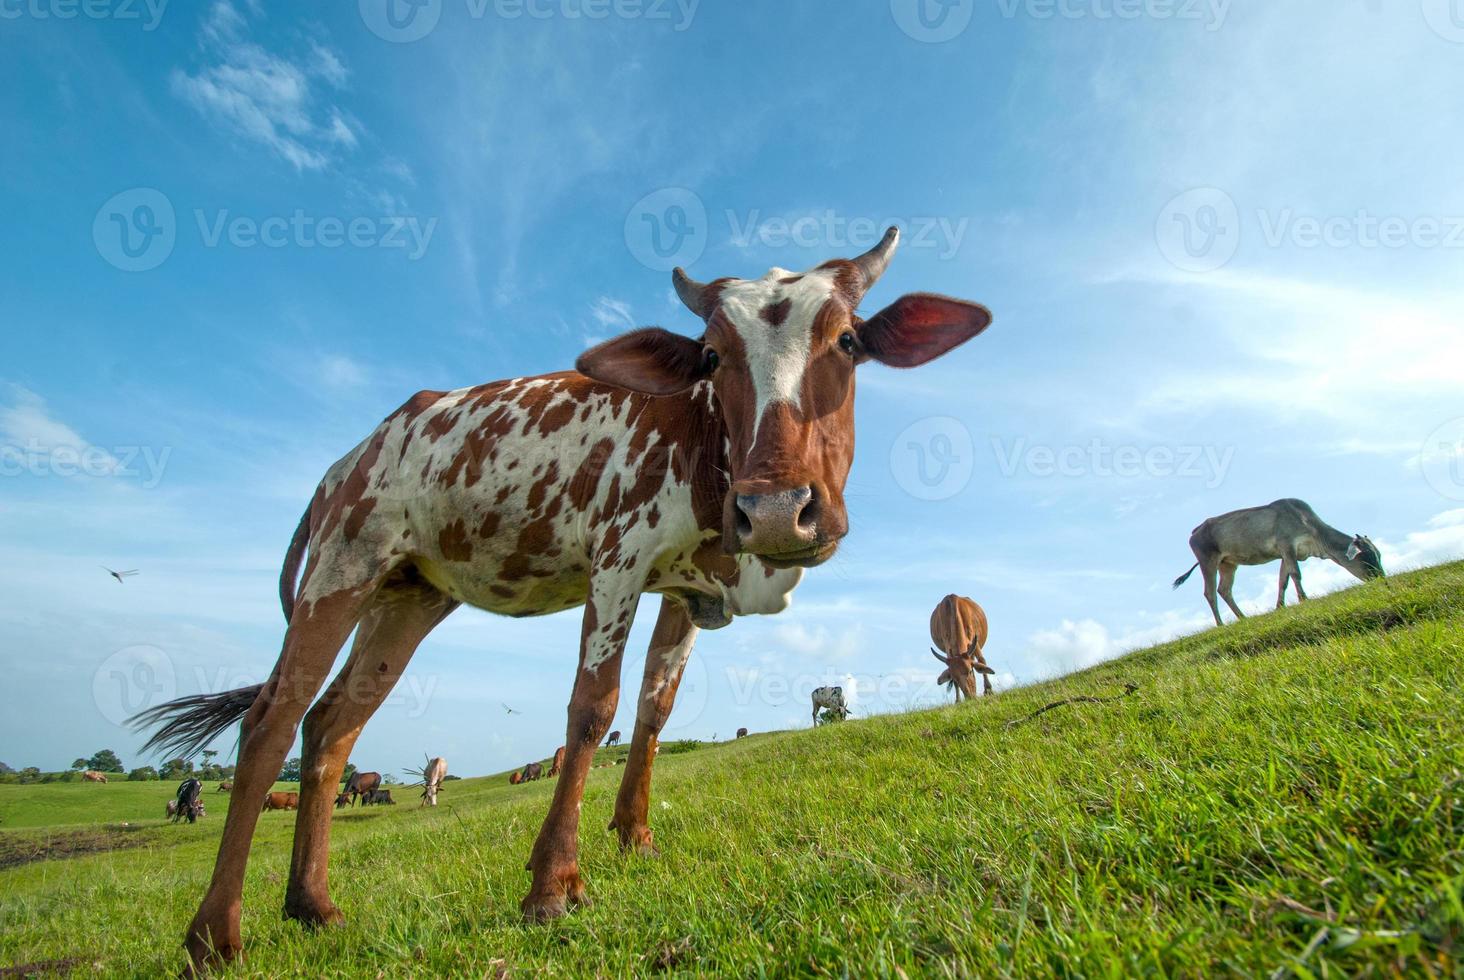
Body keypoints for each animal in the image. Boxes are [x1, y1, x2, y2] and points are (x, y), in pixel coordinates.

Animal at [134, 229, 995, 972]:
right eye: (712, 356)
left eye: (847, 342)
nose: (779, 509)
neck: (704, 442)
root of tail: (353, 454)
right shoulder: (619, 558)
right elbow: (593, 707)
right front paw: (554, 884)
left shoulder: (686, 588)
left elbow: (654, 707)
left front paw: (635, 836)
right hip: (342, 566)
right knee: (272, 719)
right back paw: (214, 935)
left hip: (406, 598)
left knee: (332, 725)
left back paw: (312, 905)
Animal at [1165, 498, 1382, 626]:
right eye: (1367, 556)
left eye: (1378, 555)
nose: (1380, 577)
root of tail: (1195, 531)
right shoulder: (1287, 545)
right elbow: (1296, 574)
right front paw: (1304, 599)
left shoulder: (1286, 554)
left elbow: (1283, 580)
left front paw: (1280, 606)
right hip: (1208, 562)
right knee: (1210, 593)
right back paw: (1220, 624)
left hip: (1228, 564)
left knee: (1224, 590)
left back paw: (1242, 617)